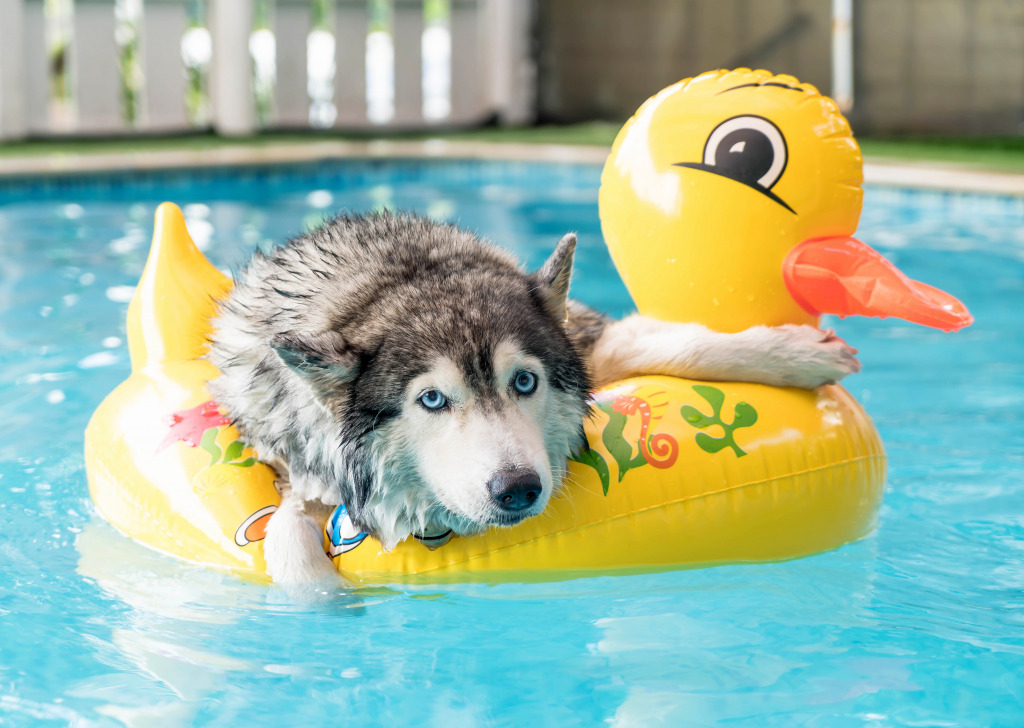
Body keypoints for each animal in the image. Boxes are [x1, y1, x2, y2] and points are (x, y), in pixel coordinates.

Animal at [205, 210, 856, 581]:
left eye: (524, 382)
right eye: (432, 400)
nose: (517, 488)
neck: (390, 276)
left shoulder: (591, 341)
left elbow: (681, 344)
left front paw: (799, 354)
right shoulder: (299, 470)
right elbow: (288, 536)